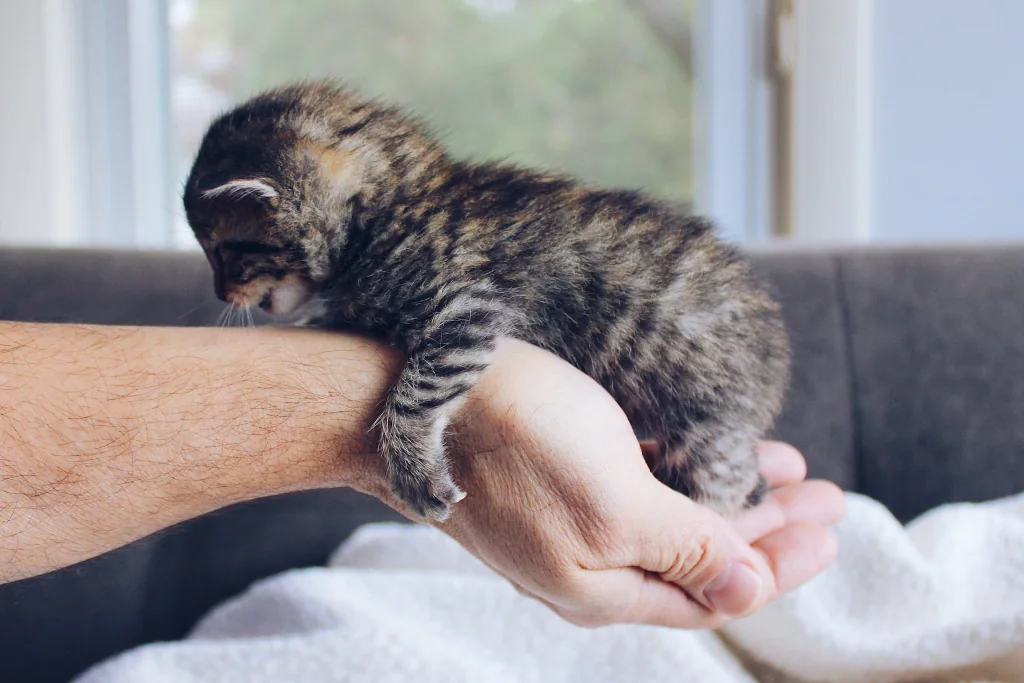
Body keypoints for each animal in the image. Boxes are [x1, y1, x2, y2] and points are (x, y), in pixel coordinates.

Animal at [184, 80, 790, 520]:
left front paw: (412, 466)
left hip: (710, 421)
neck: (390, 210)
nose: (219, 291)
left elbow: (417, 389)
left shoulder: (466, 307)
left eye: (223, 251)